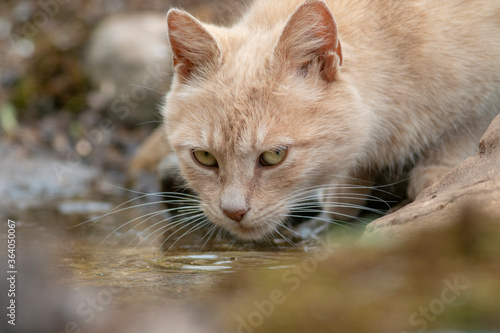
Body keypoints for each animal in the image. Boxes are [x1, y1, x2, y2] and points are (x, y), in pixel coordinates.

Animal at [159, 0, 500, 239]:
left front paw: (438, 175)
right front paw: (346, 188)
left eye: (274, 156)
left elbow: (465, 127)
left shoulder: (484, 85)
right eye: (204, 157)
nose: (233, 212)